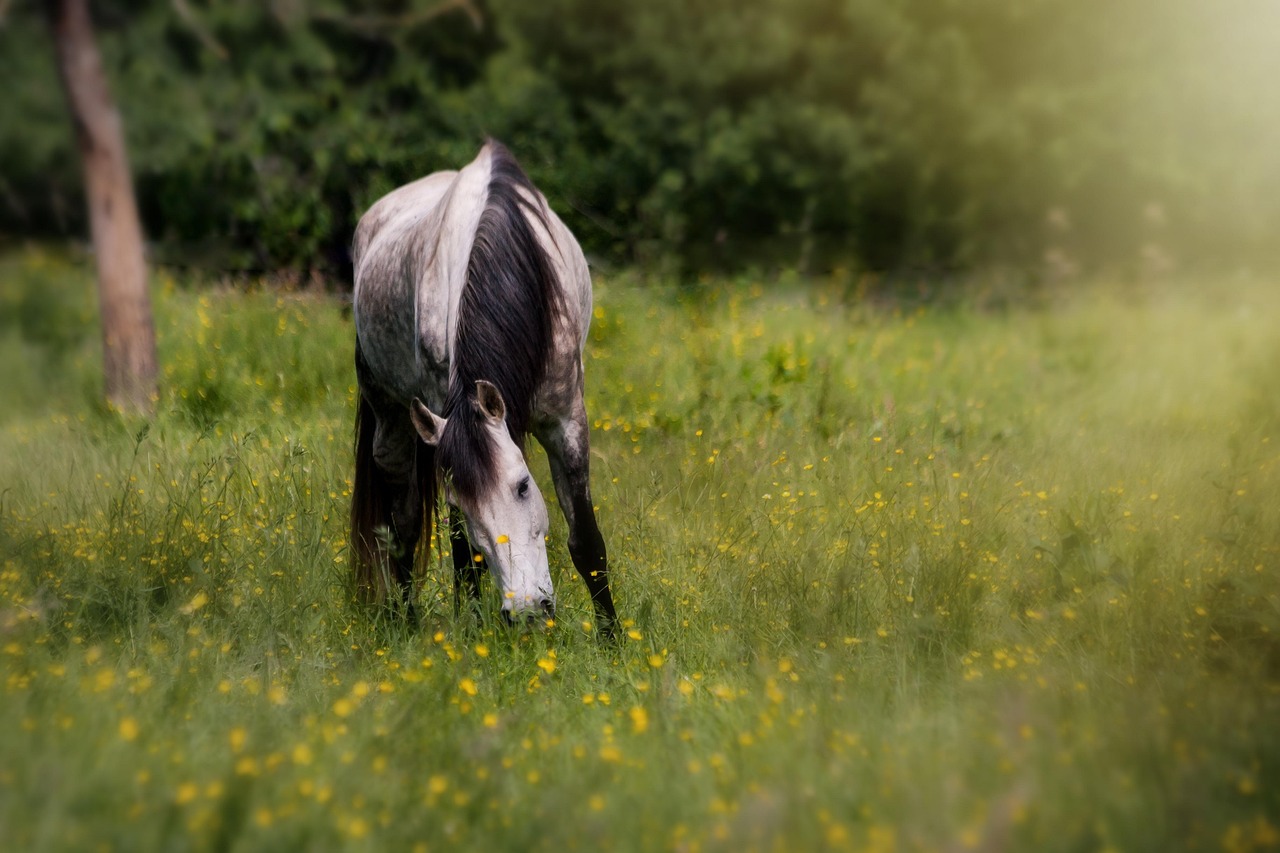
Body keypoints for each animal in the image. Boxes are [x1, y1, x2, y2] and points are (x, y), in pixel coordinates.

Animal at [348, 139, 611, 630]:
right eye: (464, 503)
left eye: (523, 486)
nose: (525, 610)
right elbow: (461, 553)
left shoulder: (567, 420)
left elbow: (586, 542)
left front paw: (614, 639)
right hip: (390, 419)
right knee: (404, 527)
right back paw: (407, 624)